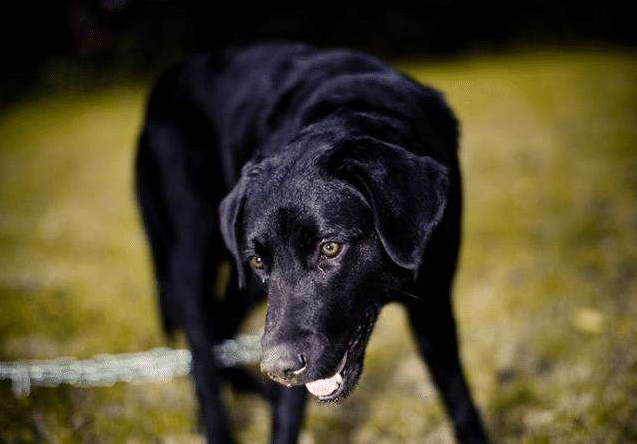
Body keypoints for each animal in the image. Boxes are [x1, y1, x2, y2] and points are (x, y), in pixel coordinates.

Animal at [135, 42, 486, 444]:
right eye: (259, 261)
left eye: (330, 247)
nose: (279, 369)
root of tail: (165, 80)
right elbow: (286, 418)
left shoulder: (434, 300)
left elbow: (459, 398)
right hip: (189, 258)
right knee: (202, 352)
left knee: (220, 327)